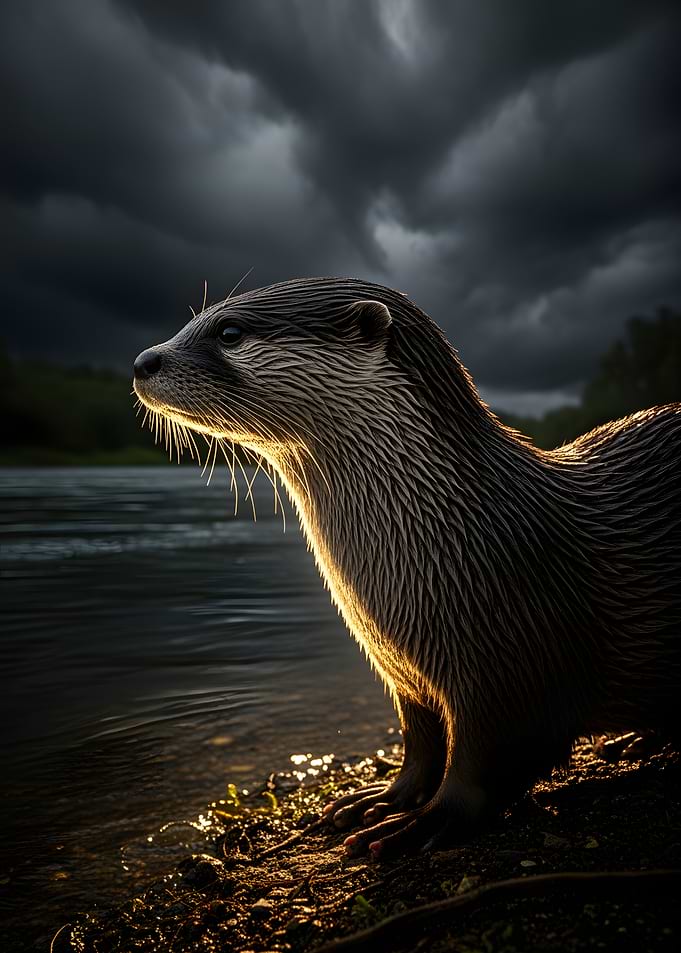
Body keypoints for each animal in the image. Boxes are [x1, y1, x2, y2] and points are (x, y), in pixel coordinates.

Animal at [133, 277, 681, 859]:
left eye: (229, 332)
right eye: (195, 319)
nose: (143, 361)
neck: (467, 538)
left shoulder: (518, 669)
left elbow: (487, 763)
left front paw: (425, 821)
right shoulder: (404, 677)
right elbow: (420, 745)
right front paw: (381, 799)